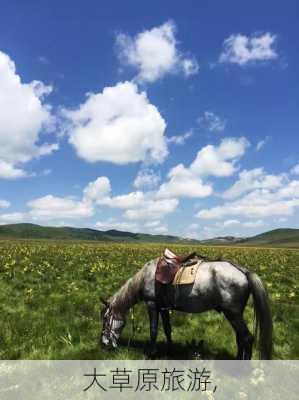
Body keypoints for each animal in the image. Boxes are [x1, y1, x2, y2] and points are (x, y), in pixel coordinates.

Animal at [99, 253, 274, 360]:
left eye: (106, 318)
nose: (103, 343)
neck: (145, 277)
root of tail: (242, 271)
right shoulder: (163, 308)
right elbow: (167, 329)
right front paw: (169, 351)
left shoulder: (152, 305)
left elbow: (153, 330)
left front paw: (151, 353)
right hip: (234, 314)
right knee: (240, 338)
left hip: (233, 313)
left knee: (247, 338)